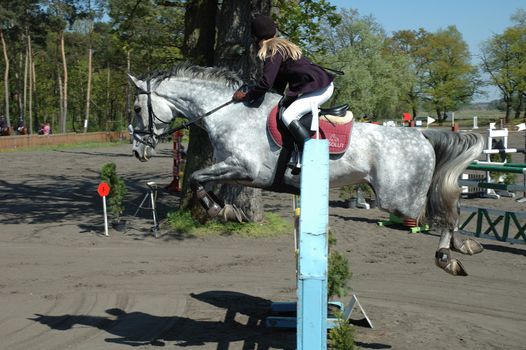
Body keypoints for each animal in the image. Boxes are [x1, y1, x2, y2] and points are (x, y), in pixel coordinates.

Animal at [129, 64, 486, 274]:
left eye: (135, 108)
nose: (137, 150)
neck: (229, 112)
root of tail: (421, 135)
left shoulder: (244, 167)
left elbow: (195, 177)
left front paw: (221, 210)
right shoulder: (232, 168)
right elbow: (201, 181)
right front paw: (226, 210)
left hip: (400, 198)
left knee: (443, 215)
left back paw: (448, 257)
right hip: (402, 196)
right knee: (449, 209)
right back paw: (465, 246)